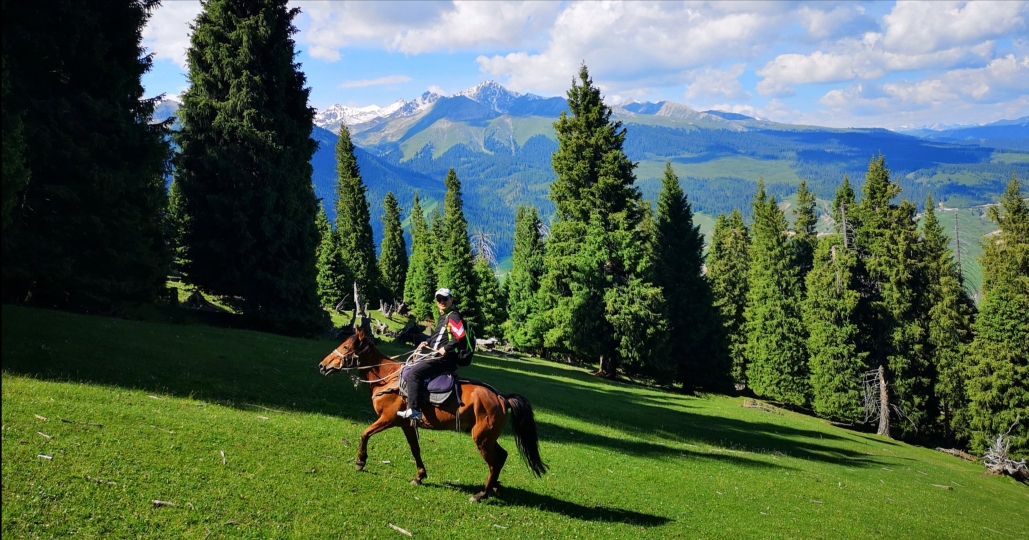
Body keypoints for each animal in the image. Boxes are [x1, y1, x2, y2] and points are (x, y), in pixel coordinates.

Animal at [316, 325, 547, 501]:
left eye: (346, 347)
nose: (322, 366)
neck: (388, 378)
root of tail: (501, 397)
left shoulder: (387, 419)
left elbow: (365, 434)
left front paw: (360, 461)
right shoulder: (406, 424)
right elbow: (415, 449)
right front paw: (419, 476)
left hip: (481, 437)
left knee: (495, 461)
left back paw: (482, 494)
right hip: (488, 436)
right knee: (502, 456)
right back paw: (495, 487)